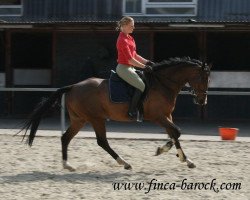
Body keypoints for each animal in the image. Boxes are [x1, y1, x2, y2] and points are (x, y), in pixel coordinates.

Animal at [18, 57, 211, 171]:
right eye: (203, 78)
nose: (202, 101)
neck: (163, 83)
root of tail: (73, 86)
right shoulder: (158, 117)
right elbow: (177, 132)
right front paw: (166, 152)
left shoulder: (167, 116)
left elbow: (174, 134)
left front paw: (184, 159)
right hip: (95, 119)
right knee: (102, 141)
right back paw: (124, 163)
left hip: (80, 120)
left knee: (66, 138)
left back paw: (68, 165)